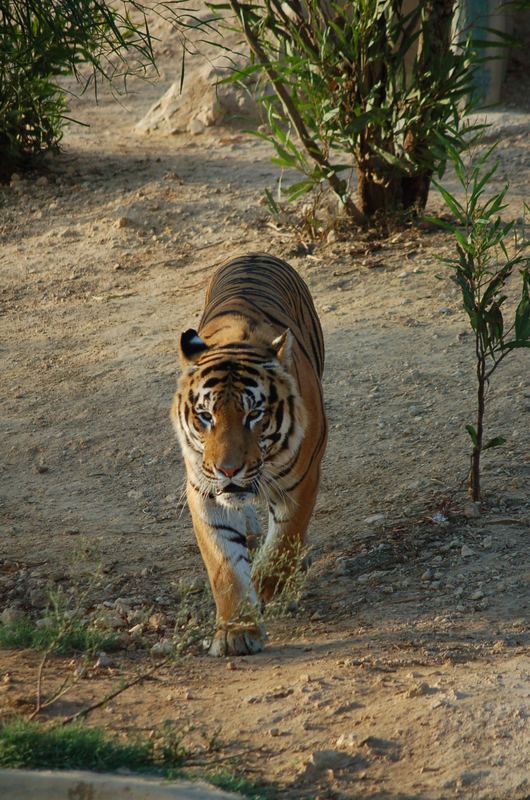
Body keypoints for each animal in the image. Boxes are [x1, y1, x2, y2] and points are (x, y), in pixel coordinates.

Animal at [171, 252, 324, 656]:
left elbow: (285, 539)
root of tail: (253, 253)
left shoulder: (300, 480)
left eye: (254, 414)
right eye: (206, 416)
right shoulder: (203, 489)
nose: (228, 470)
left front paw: (266, 585)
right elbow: (223, 564)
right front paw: (237, 631)